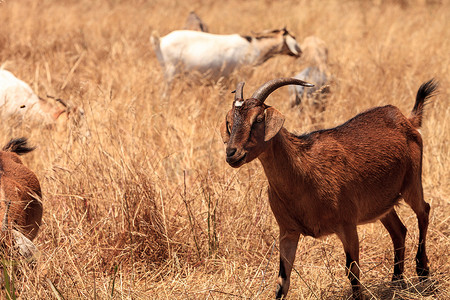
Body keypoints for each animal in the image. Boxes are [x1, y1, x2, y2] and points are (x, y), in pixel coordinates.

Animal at [220, 77, 438, 298]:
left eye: (258, 119)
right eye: (229, 122)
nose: (232, 153)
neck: (303, 173)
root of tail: (407, 120)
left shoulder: (347, 225)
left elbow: (352, 271)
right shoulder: (288, 231)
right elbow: (283, 280)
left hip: (412, 182)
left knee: (424, 211)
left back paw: (423, 272)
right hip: (383, 203)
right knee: (399, 231)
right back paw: (396, 282)